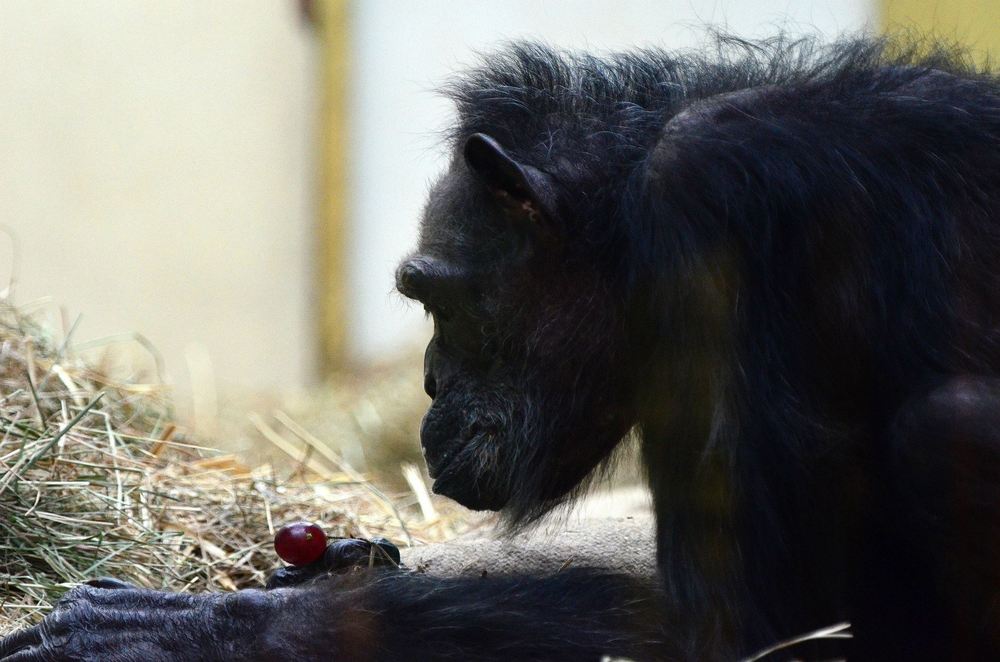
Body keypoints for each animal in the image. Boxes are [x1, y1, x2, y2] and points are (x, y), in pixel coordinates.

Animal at [1, 35, 1000, 662]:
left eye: (436, 296)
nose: (430, 382)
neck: (627, 217)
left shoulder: (712, 208)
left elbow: (754, 625)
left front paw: (227, 625)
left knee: (943, 427)